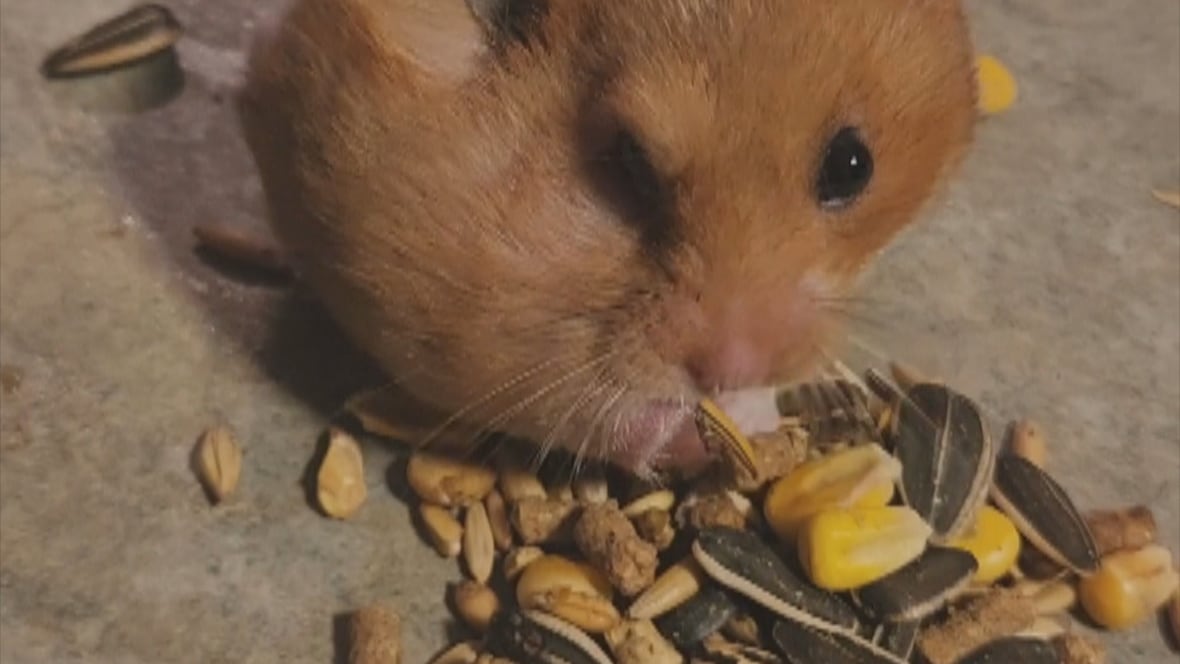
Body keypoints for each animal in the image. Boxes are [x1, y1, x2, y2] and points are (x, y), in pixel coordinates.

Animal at [237, 0, 977, 478]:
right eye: (631, 164)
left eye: (851, 165)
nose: (735, 369)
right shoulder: (429, 281)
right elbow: (586, 401)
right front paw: (729, 429)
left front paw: (759, 409)